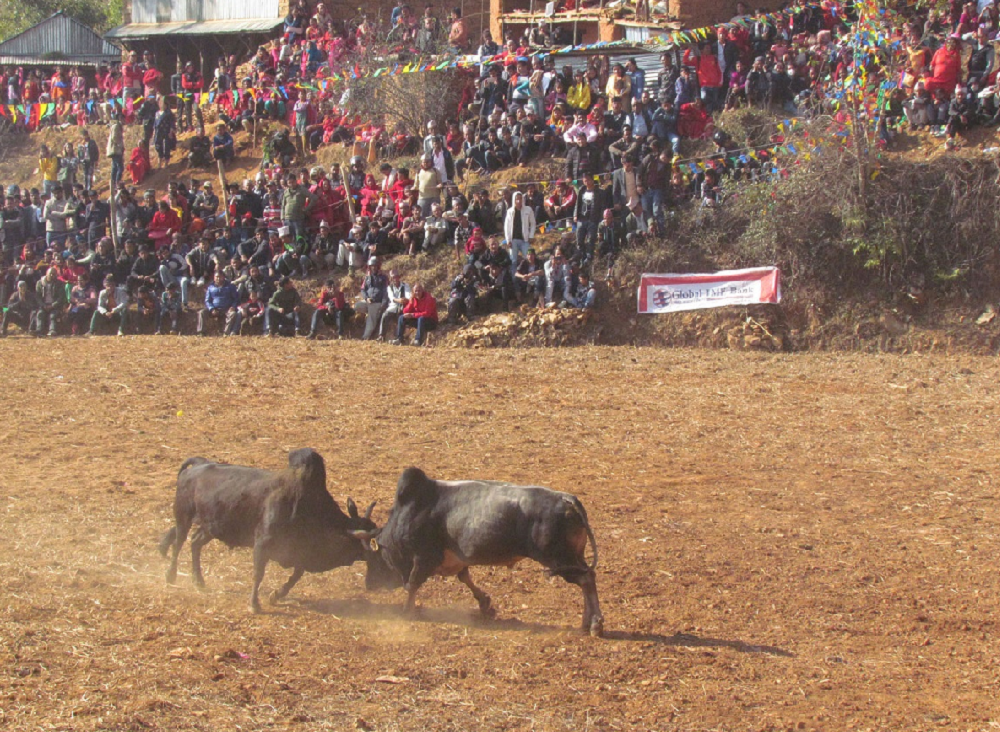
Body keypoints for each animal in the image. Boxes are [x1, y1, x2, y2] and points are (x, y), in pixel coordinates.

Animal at [350, 468, 600, 636]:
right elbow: (465, 578)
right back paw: (587, 622)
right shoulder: (456, 560)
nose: (369, 584)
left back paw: (595, 623)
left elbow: (412, 584)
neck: (411, 511)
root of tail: (568, 499)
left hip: (559, 559)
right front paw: (485, 604)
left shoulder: (422, 558)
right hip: (573, 557)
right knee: (588, 578)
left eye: (373, 560)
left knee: (586, 579)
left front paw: (405, 612)